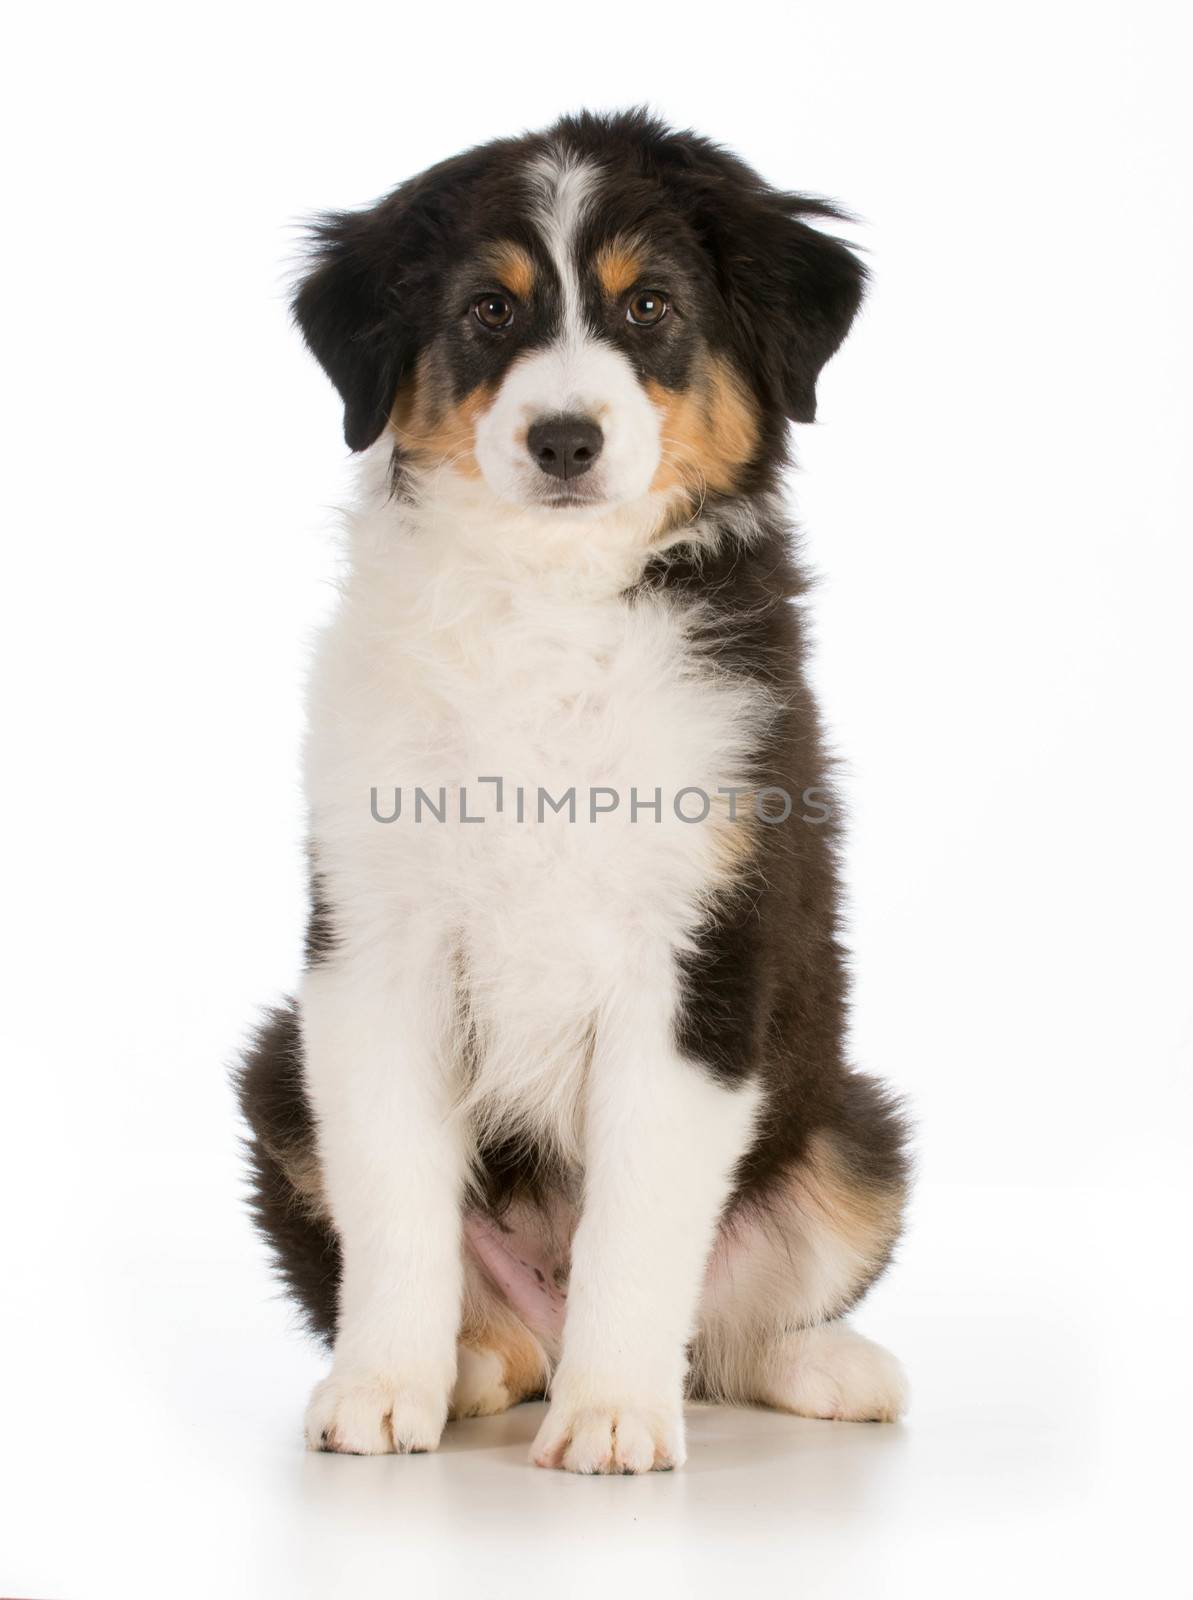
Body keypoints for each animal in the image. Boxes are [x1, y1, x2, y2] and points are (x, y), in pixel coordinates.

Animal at [241, 106, 908, 1465]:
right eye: (489, 312)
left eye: (647, 305)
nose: (563, 440)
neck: (545, 605)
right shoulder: (373, 947)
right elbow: (392, 1195)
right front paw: (380, 1388)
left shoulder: (699, 955)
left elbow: (638, 1223)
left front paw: (608, 1417)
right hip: (278, 1067)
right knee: (486, 1309)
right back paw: (471, 1364)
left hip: (856, 1136)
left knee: (732, 1334)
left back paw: (826, 1368)